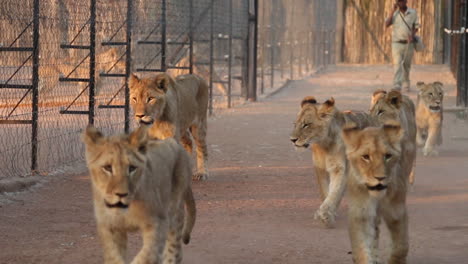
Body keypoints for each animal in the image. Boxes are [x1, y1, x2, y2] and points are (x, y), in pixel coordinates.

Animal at [82, 126, 196, 264]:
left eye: (132, 168)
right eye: (107, 168)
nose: (121, 194)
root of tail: (176, 144)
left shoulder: (159, 222)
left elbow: (146, 256)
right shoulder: (110, 226)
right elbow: (113, 256)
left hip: (174, 212)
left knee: (174, 253)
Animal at [288, 96, 376, 227]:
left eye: (306, 125)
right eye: (295, 124)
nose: (292, 140)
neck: (324, 145)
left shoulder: (339, 169)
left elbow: (334, 192)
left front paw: (325, 214)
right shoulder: (320, 169)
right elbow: (325, 192)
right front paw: (325, 213)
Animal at [342, 123, 408, 264]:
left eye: (388, 156)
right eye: (366, 157)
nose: (380, 178)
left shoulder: (396, 211)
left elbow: (401, 246)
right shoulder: (361, 214)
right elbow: (362, 249)